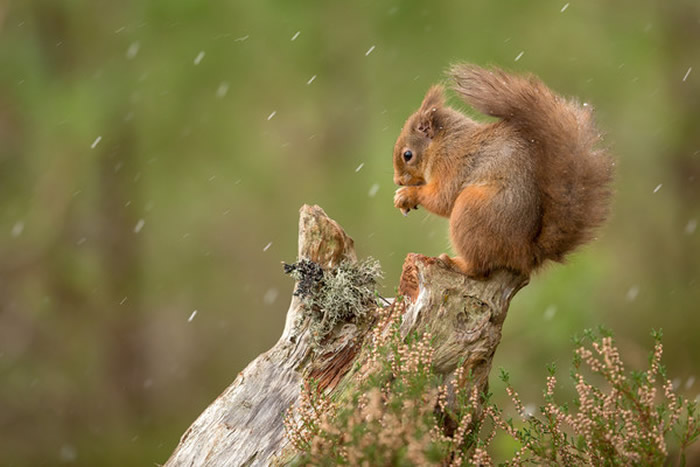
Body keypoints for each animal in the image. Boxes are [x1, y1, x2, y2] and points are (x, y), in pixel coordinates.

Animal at [392, 64, 614, 277]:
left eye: (407, 155)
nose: (398, 181)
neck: (443, 142)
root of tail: (526, 254)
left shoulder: (451, 164)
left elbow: (442, 199)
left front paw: (407, 195)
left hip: (470, 209)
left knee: (480, 270)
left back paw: (456, 263)